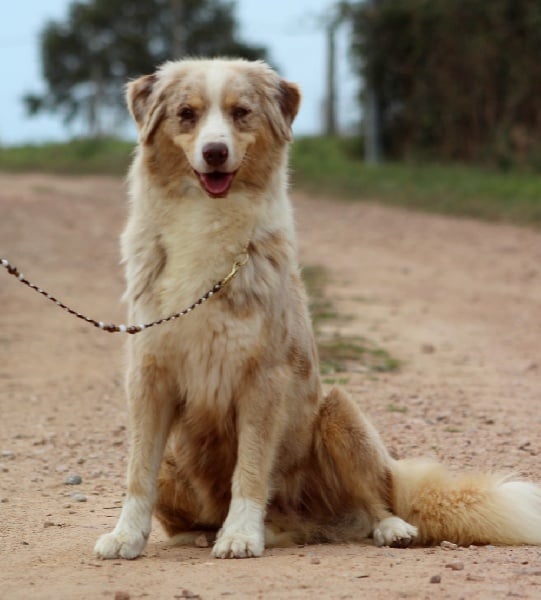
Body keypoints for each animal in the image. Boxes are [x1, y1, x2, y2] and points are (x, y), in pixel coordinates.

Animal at [94, 58, 540, 560]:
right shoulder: (150, 376)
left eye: (241, 112)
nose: (214, 152)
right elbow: (137, 473)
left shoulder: (264, 379)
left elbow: (250, 469)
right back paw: (216, 533)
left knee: (374, 503)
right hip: (178, 459)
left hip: (338, 412)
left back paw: (387, 529)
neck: (206, 222)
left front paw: (241, 534)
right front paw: (126, 536)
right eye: (186, 114)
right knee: (193, 515)